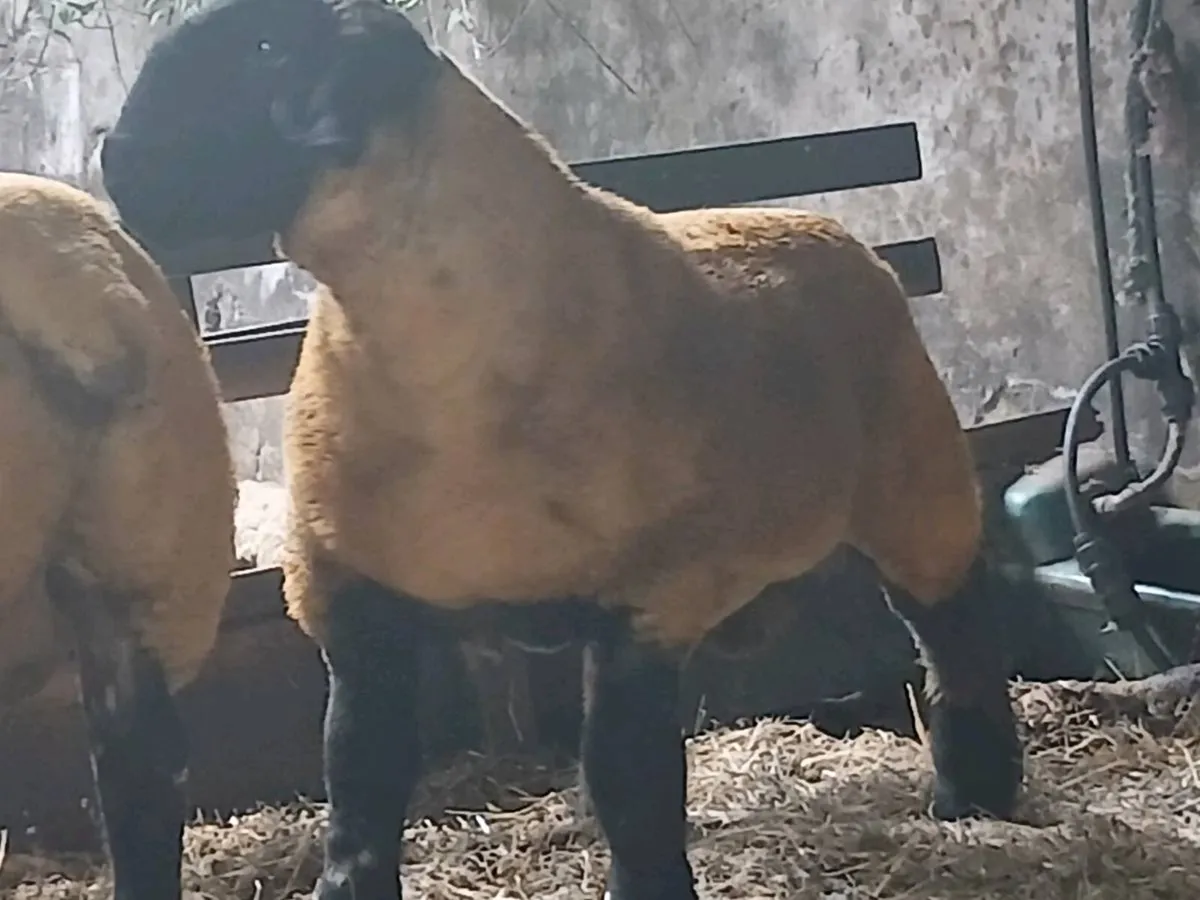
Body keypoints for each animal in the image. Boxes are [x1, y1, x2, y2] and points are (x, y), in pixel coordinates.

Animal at [100, 1, 1025, 897]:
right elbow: (360, 782)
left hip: (915, 478)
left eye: (265, 50)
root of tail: (826, 226)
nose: (114, 160)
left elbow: (627, 778)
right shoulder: (351, 595)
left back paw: (974, 792)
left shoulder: (649, 597)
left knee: (957, 629)